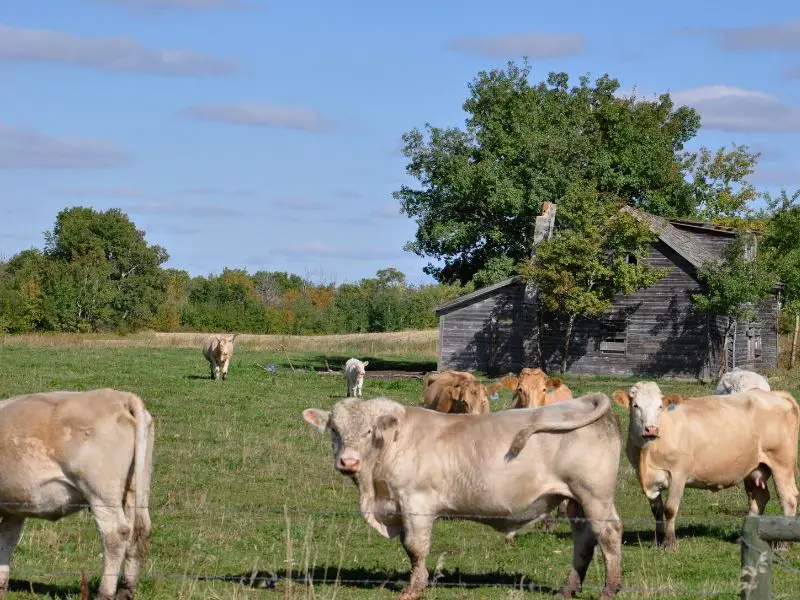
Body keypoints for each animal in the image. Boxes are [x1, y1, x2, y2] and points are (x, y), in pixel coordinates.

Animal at [0, 386, 154, 596]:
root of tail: (121, 396)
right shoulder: (14, 506)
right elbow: (7, 541)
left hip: (100, 492)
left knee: (115, 533)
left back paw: (105, 593)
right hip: (137, 487)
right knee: (140, 530)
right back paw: (126, 590)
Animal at [306, 394, 624, 600]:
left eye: (369, 431)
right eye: (334, 429)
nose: (348, 462)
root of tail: (581, 401)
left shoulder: (415, 502)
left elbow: (415, 547)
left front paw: (413, 589)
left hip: (595, 495)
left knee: (608, 534)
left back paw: (609, 589)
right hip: (575, 501)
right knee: (583, 540)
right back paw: (568, 589)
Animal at [616, 384, 796, 548]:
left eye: (660, 406)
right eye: (636, 405)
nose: (651, 429)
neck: (646, 454)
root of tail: (777, 394)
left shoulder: (678, 474)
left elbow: (670, 509)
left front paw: (669, 543)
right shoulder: (647, 477)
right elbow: (657, 511)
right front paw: (656, 541)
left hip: (782, 462)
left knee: (789, 498)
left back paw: (783, 544)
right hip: (755, 467)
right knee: (759, 497)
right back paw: (744, 538)